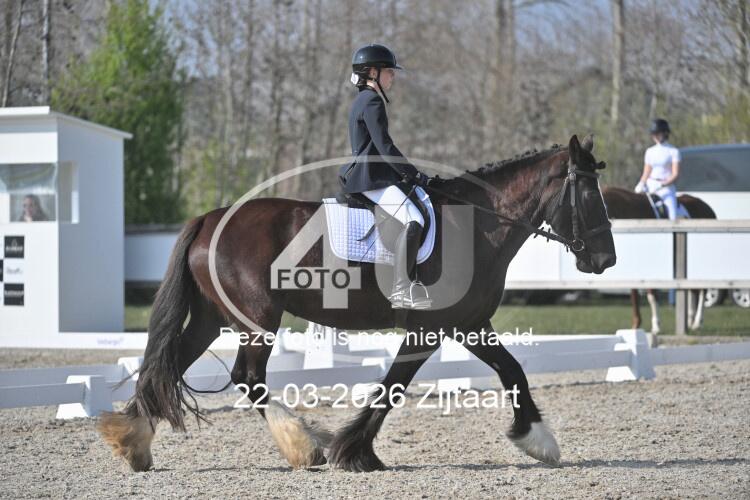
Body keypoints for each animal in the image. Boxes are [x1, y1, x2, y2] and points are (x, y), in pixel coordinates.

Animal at [98, 134, 616, 473]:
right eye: (589, 194)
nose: (605, 259)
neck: (477, 226)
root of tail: (211, 217)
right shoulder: (431, 328)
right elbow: (393, 386)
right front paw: (354, 453)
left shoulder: (469, 322)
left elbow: (512, 370)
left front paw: (537, 440)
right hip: (256, 317)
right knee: (246, 377)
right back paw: (304, 447)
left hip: (212, 318)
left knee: (168, 365)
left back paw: (133, 443)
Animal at [601, 186, 716, 336]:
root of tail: (709, 209)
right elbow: (634, 294)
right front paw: (636, 326)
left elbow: (651, 295)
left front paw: (656, 326)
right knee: (694, 290)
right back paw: (690, 320)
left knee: (702, 290)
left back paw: (697, 322)